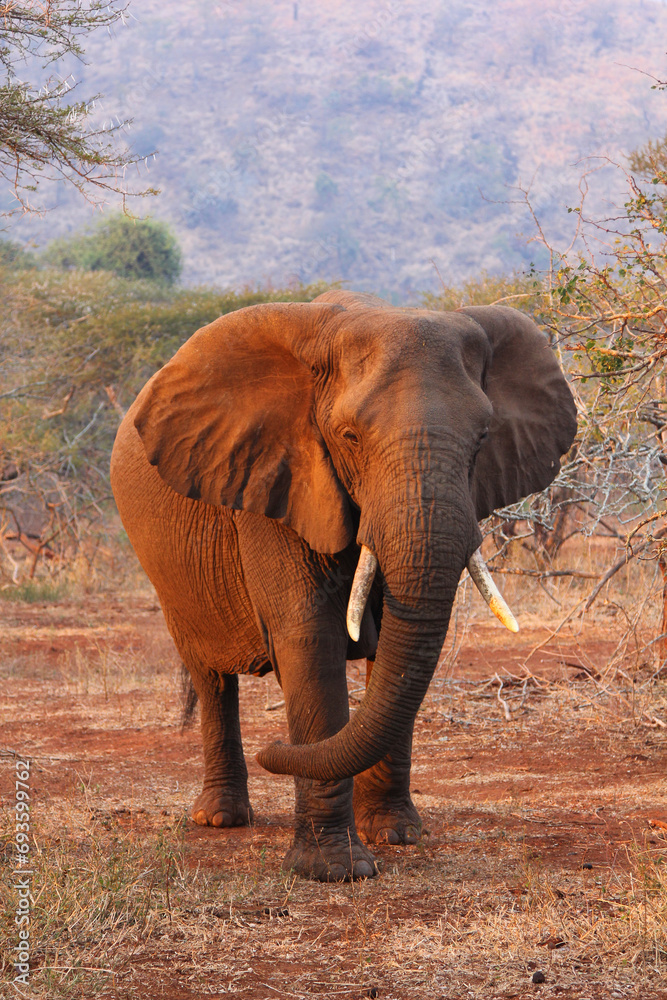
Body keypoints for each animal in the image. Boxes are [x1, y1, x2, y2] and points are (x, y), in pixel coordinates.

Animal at [110, 290, 576, 881]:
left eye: (482, 439)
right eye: (350, 437)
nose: (272, 749)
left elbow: (398, 656)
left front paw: (398, 836)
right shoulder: (277, 481)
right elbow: (309, 641)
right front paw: (335, 870)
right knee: (209, 675)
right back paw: (220, 819)